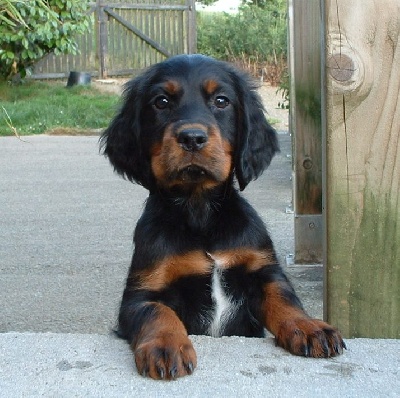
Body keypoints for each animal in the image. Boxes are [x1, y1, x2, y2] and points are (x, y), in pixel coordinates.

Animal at [99, 54, 344, 380]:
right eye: (161, 101)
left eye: (221, 100)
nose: (192, 138)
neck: (200, 211)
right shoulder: (141, 293)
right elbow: (158, 312)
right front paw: (165, 346)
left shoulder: (263, 271)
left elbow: (284, 298)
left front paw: (310, 327)